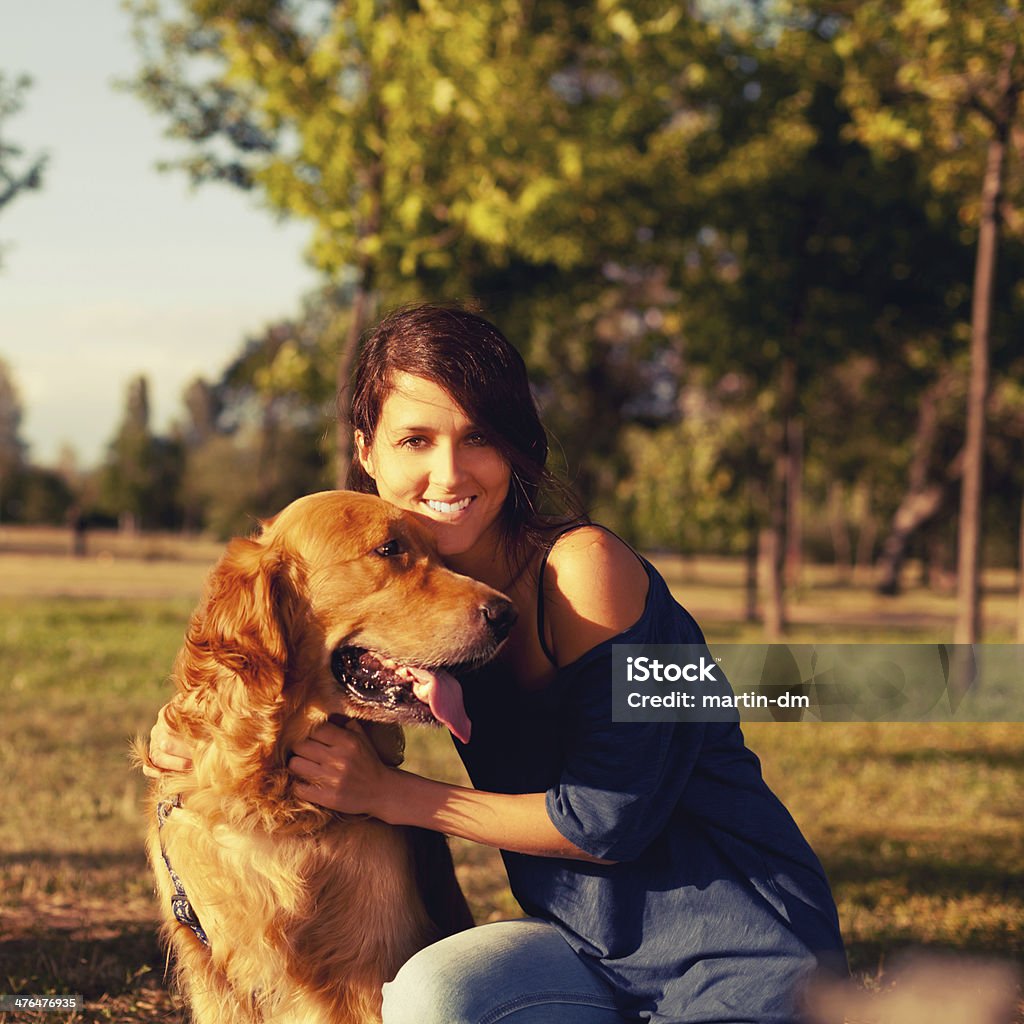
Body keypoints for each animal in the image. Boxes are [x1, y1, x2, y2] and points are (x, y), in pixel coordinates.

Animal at [140, 487, 516, 1024]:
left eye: (443, 557)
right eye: (389, 550)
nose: (508, 615)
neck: (275, 804)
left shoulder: (368, 967)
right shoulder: (215, 977)